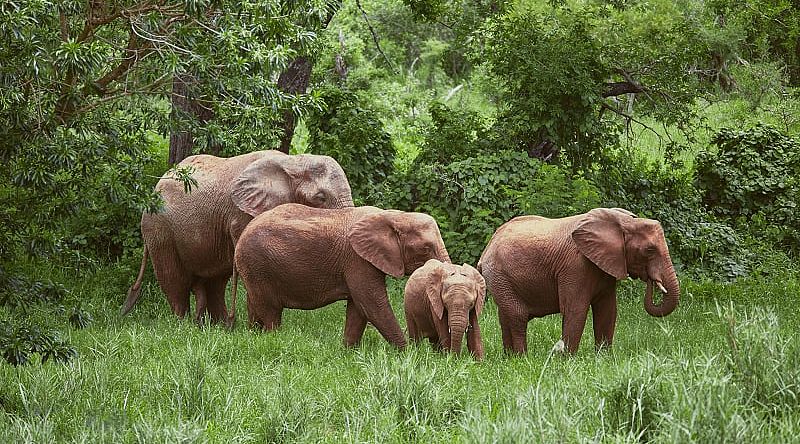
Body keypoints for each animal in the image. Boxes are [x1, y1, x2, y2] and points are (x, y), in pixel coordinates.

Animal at [122, 150, 354, 326]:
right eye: (320, 198)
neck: (292, 162)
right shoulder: (242, 214)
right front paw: (254, 330)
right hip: (158, 228)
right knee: (174, 280)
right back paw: (183, 324)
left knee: (214, 282)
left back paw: (219, 326)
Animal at [234, 203, 454, 348]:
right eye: (425, 249)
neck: (392, 216)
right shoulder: (358, 260)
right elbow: (373, 304)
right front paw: (406, 353)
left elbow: (358, 308)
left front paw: (348, 351)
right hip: (258, 264)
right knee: (271, 310)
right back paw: (273, 339)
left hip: (254, 268)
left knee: (255, 305)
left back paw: (253, 336)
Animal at [478, 207, 680, 354]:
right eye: (649, 250)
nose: (652, 280)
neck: (625, 222)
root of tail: (487, 249)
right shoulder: (575, 266)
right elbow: (576, 309)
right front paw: (568, 360)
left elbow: (608, 310)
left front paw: (604, 358)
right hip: (500, 276)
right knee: (517, 315)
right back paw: (521, 358)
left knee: (505, 316)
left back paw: (509, 357)